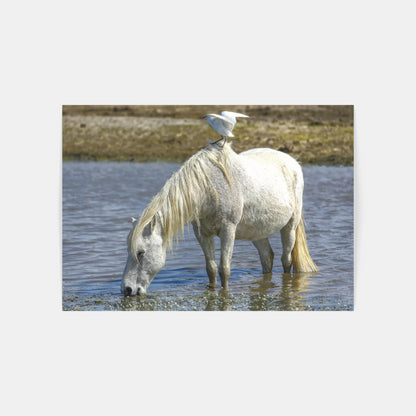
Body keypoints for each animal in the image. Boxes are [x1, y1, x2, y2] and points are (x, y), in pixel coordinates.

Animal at [122, 140, 316, 296]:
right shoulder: (202, 234)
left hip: (290, 226)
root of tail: (293, 162)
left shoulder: (227, 230)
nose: (127, 289)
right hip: (258, 232)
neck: (209, 188)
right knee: (267, 257)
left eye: (141, 253)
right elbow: (211, 269)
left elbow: (225, 269)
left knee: (286, 260)